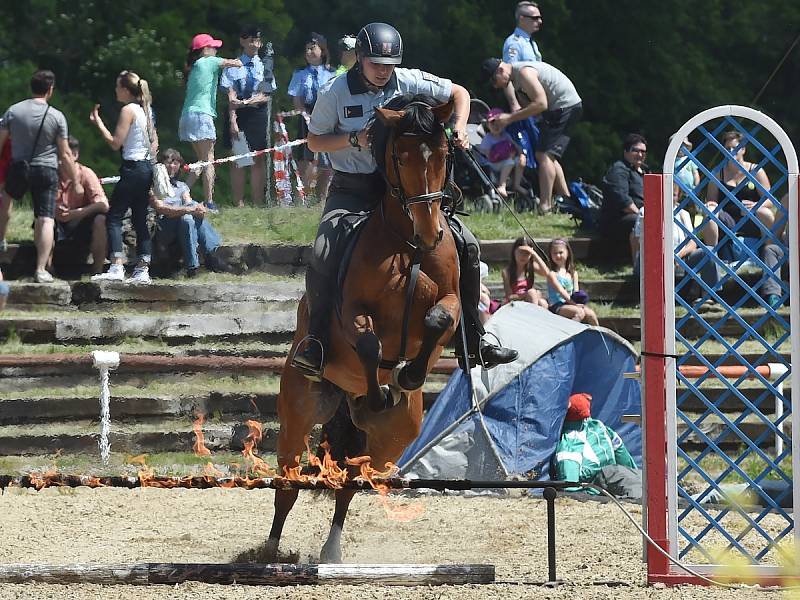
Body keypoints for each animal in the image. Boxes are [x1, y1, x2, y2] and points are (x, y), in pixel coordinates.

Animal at [264, 95, 460, 564]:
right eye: (400, 157)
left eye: (443, 155)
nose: (430, 232)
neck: (407, 246)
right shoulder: (352, 314)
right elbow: (370, 343)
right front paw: (383, 387)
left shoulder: (453, 300)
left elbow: (439, 319)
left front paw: (409, 375)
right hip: (298, 410)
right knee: (288, 483)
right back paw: (269, 552)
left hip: (392, 440)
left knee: (351, 485)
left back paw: (332, 551)